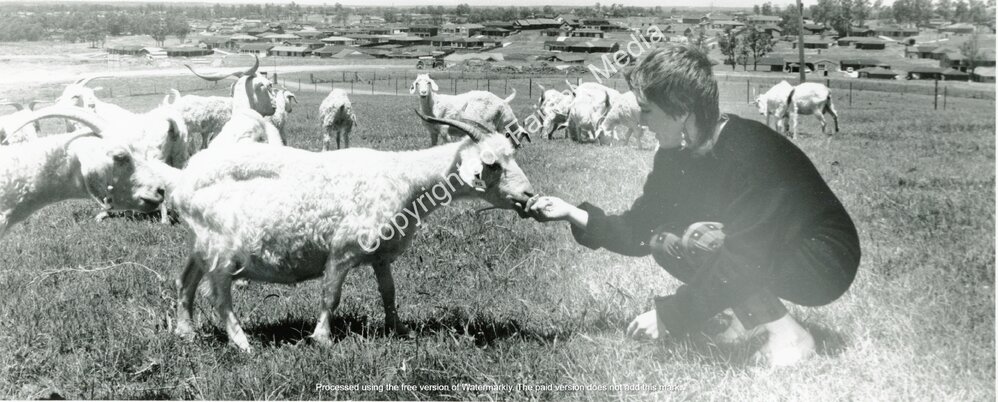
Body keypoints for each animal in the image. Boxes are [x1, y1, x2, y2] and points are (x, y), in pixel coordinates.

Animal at [164, 112, 536, 352]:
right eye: (492, 164)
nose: (529, 194)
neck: (402, 178)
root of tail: (184, 178)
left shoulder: (382, 254)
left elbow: (389, 292)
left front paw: (400, 329)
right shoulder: (343, 250)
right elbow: (331, 295)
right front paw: (322, 338)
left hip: (202, 243)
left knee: (185, 281)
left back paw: (186, 332)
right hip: (223, 247)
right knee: (219, 296)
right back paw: (242, 343)